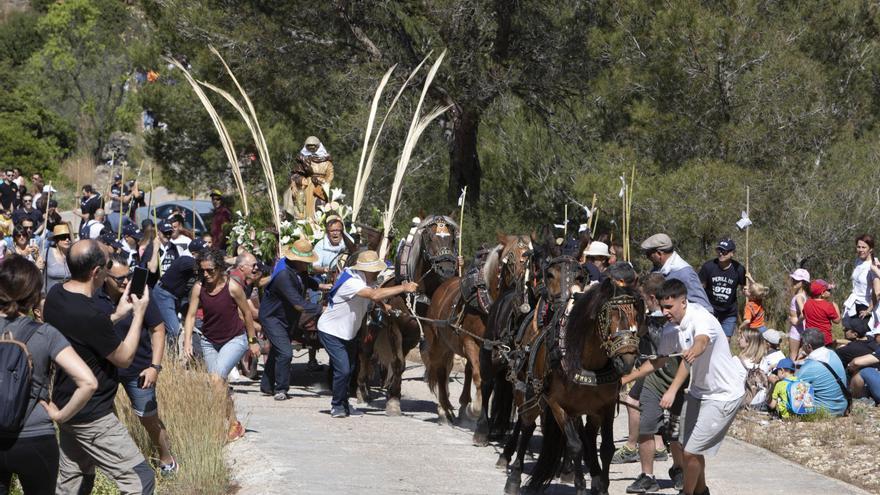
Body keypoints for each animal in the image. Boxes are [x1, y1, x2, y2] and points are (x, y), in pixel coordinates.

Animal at [424, 234, 532, 424]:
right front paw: (474, 409)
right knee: (440, 370)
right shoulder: (470, 342)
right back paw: (445, 410)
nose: (523, 288)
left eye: (531, 256)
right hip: (437, 343)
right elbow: (479, 376)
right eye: (510, 257)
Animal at [506, 278, 644, 495]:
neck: (588, 363)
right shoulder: (557, 405)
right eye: (609, 315)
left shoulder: (605, 406)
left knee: (587, 434)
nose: (628, 360)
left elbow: (606, 448)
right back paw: (514, 477)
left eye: (636, 315)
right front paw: (580, 486)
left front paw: (602, 487)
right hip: (530, 394)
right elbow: (575, 446)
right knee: (527, 424)